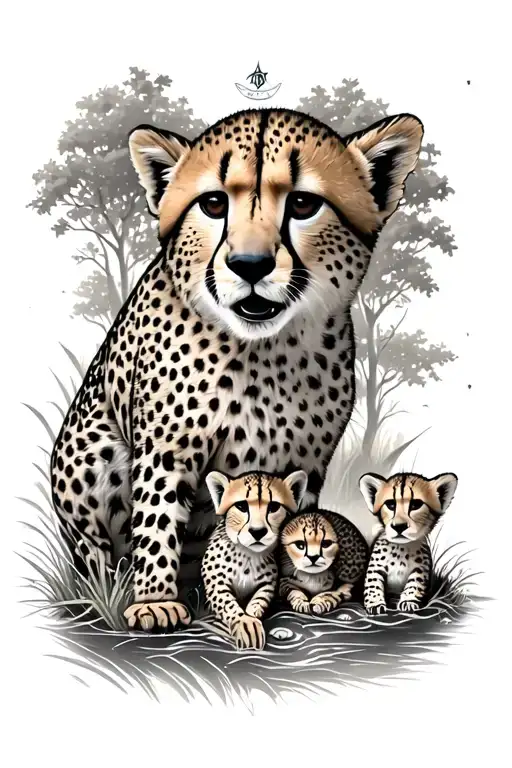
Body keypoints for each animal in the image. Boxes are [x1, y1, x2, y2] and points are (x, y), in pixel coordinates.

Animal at [202, 469, 308, 649]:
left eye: (274, 507)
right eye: (241, 506)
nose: (257, 532)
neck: (248, 555)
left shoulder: (268, 584)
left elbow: (259, 600)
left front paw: (251, 619)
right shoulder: (216, 586)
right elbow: (228, 604)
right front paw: (245, 625)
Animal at [359, 471, 458, 614]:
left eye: (415, 505)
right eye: (391, 505)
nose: (399, 526)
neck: (401, 547)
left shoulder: (420, 568)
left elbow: (415, 582)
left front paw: (408, 601)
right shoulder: (376, 567)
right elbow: (373, 583)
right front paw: (375, 603)